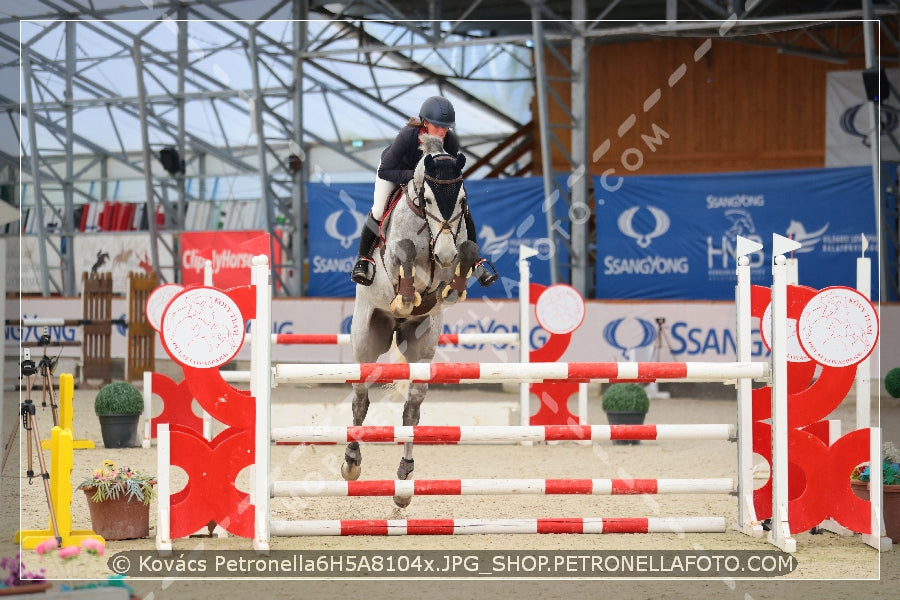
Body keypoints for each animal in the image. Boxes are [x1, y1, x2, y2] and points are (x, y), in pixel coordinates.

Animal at [344, 135, 482, 506]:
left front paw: (451, 284)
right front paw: (406, 296)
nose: (444, 253)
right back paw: (351, 461)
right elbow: (404, 251)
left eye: (462, 200)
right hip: (366, 341)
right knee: (360, 400)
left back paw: (405, 478)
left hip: (422, 345)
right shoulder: (395, 256)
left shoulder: (452, 259)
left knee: (412, 409)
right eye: (429, 198)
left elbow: (466, 254)